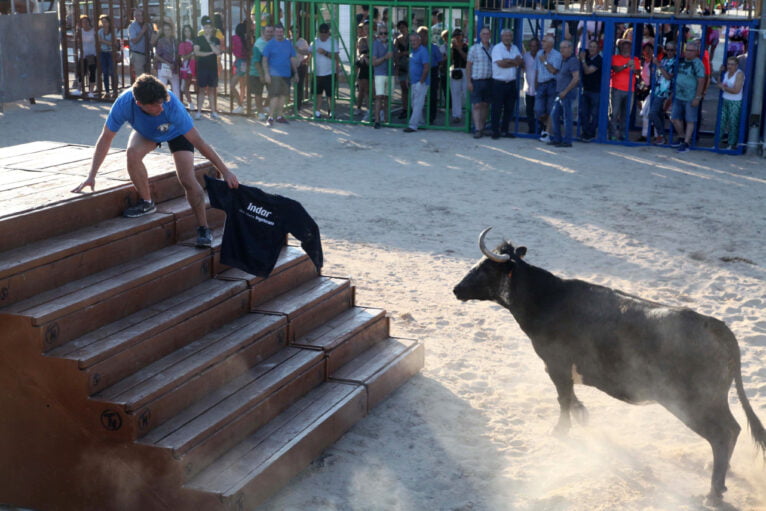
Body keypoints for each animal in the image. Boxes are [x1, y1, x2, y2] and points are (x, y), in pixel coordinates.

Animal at [452, 228, 764, 504]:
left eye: (484, 268)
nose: (456, 289)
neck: (547, 298)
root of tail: (717, 327)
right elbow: (571, 398)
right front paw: (582, 415)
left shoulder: (556, 364)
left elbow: (563, 398)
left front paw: (561, 430)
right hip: (714, 400)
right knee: (732, 430)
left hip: (693, 403)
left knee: (722, 435)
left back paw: (712, 492)